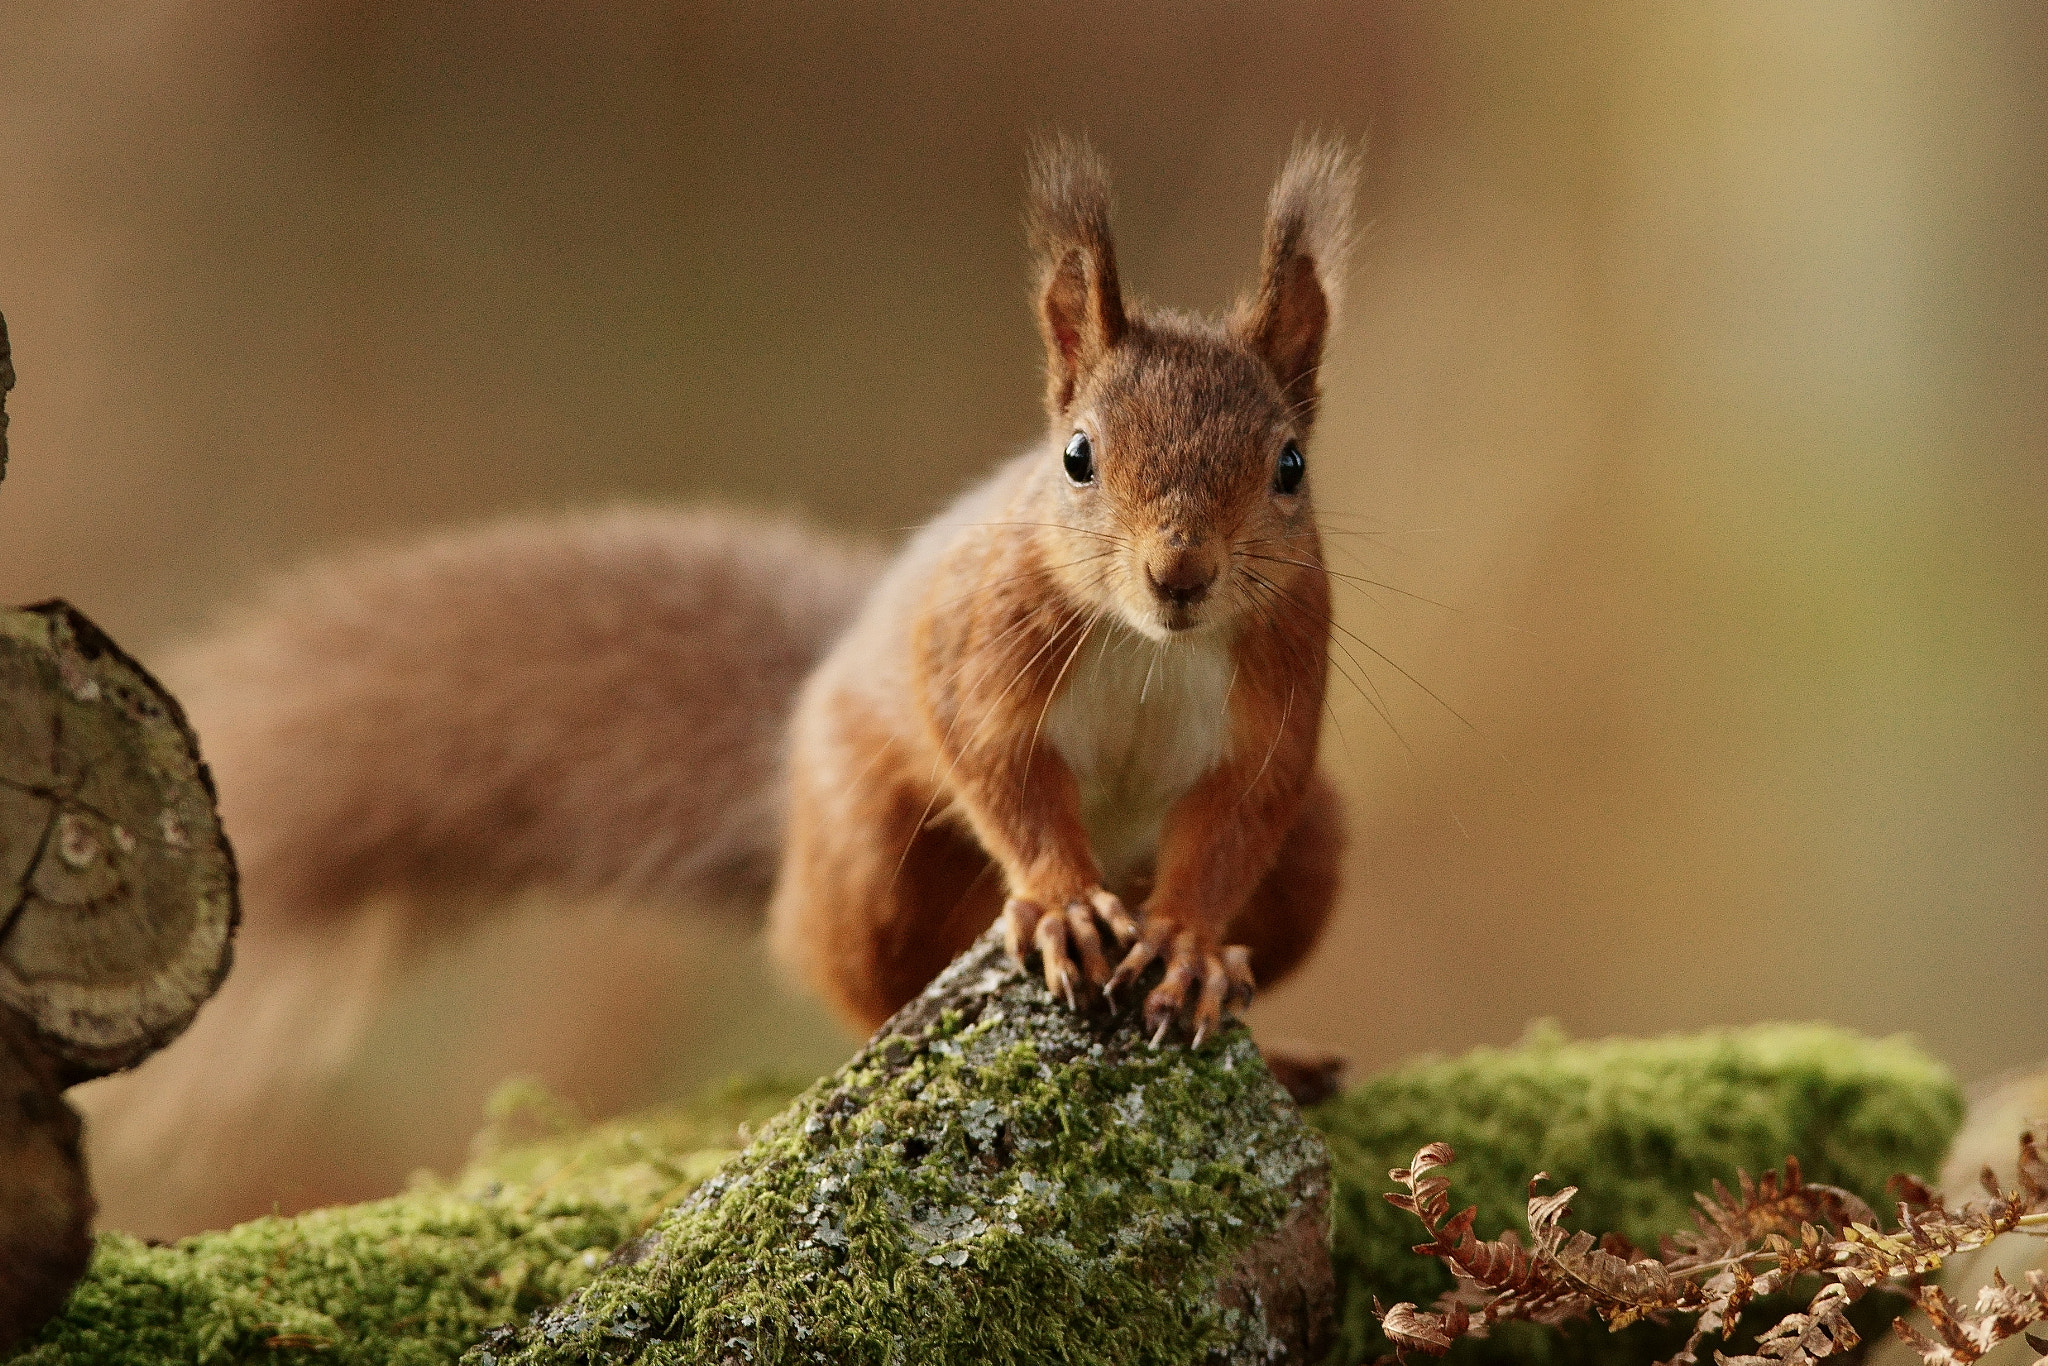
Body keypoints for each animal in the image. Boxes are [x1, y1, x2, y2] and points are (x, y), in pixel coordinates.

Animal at [180, 139, 1359, 1056]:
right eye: (1076, 456)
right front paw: (1065, 903)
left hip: (1317, 847)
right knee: (865, 983)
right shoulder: (983, 636)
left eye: (1291, 466)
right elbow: (998, 764)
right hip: (868, 853)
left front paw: (1190, 947)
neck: (1151, 644)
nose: (1180, 574)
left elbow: (1234, 820)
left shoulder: (1281, 684)